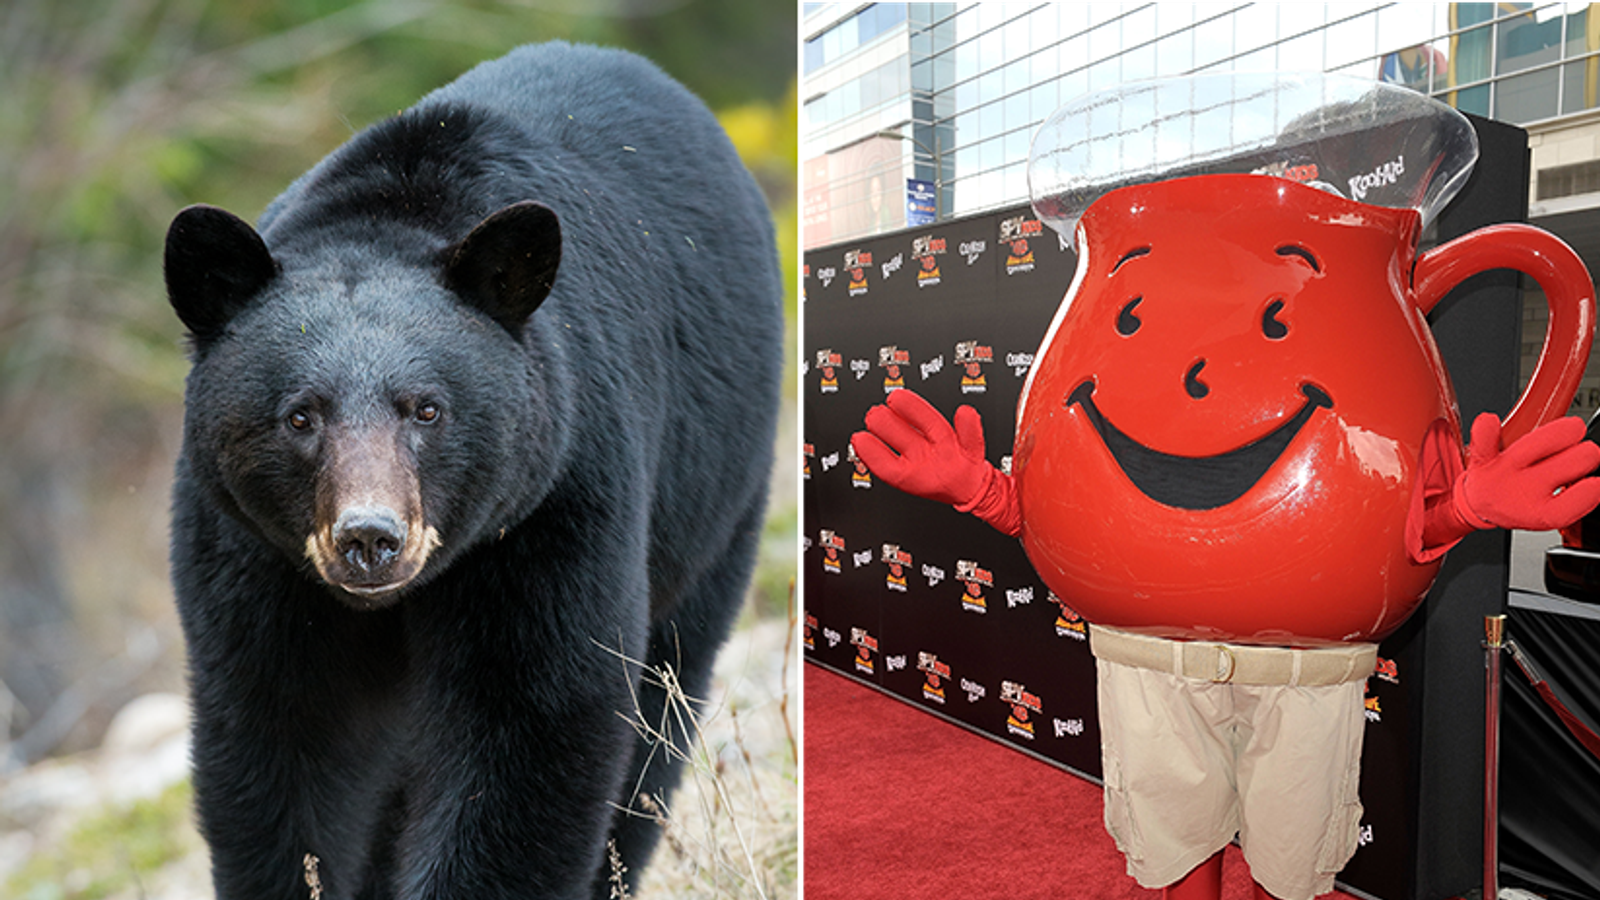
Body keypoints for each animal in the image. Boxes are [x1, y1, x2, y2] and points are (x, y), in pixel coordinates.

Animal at [160, 42, 780, 896]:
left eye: (426, 409)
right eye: (300, 416)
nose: (369, 538)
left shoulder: (556, 499)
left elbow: (533, 720)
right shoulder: (249, 551)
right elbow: (280, 736)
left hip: (714, 495)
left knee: (661, 706)